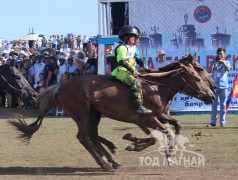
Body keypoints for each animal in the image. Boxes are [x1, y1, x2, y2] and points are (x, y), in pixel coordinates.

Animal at [8, 56, 216, 172]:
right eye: (198, 74)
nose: (212, 93)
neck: (156, 88)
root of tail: (61, 86)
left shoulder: (159, 116)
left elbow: (174, 127)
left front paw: (134, 142)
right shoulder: (146, 118)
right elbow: (162, 134)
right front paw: (138, 144)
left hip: (94, 114)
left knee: (92, 135)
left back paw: (112, 158)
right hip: (82, 113)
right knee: (84, 137)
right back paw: (106, 163)